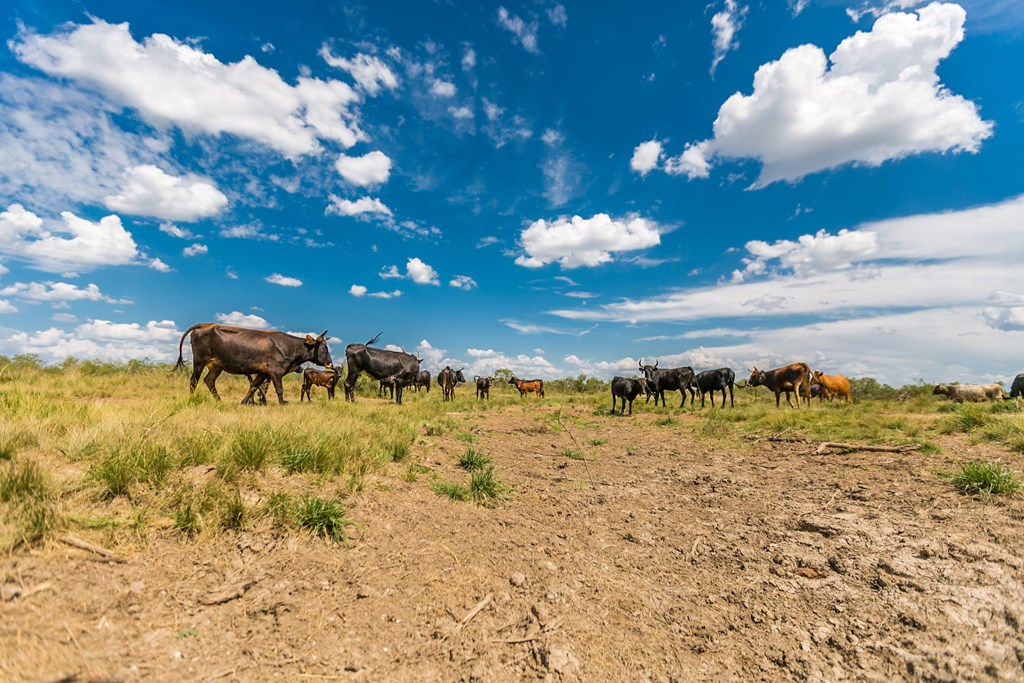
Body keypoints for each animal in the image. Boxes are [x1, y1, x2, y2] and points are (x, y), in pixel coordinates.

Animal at [176, 323, 331, 403]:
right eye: (324, 348)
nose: (330, 363)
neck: (289, 347)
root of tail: (204, 325)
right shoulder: (275, 372)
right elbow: (279, 389)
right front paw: (282, 403)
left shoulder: (263, 373)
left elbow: (253, 387)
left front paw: (244, 402)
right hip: (199, 361)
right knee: (193, 380)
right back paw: (192, 398)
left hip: (216, 366)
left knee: (209, 380)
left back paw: (219, 400)